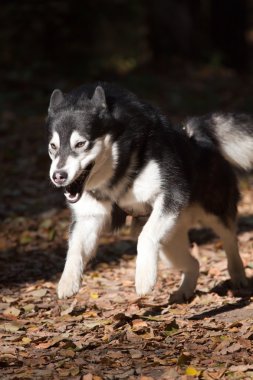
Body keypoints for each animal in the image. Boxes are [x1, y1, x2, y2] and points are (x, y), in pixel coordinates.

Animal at [46, 83, 250, 302]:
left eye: (80, 144)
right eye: (53, 146)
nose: (58, 176)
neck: (118, 168)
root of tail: (196, 137)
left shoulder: (171, 195)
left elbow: (145, 237)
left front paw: (144, 277)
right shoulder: (89, 216)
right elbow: (74, 248)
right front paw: (67, 281)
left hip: (214, 212)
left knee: (230, 240)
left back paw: (238, 276)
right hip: (169, 243)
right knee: (194, 263)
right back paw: (184, 290)